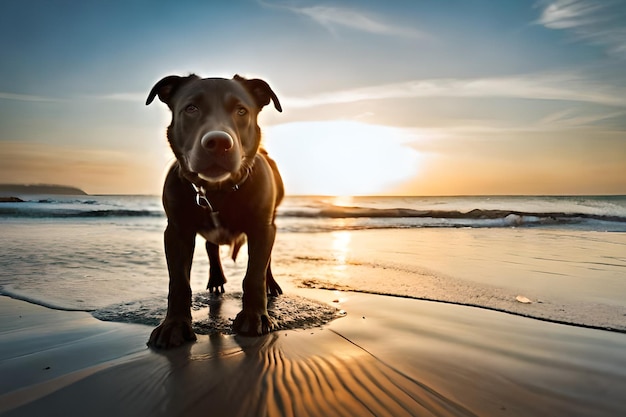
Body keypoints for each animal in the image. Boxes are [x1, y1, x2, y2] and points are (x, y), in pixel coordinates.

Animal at [145, 74, 282, 348]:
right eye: (191, 108)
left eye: (241, 110)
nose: (218, 142)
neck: (216, 190)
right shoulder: (176, 232)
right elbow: (179, 282)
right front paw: (174, 325)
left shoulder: (261, 227)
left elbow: (255, 274)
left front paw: (255, 317)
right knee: (211, 246)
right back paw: (216, 278)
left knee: (266, 261)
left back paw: (270, 284)